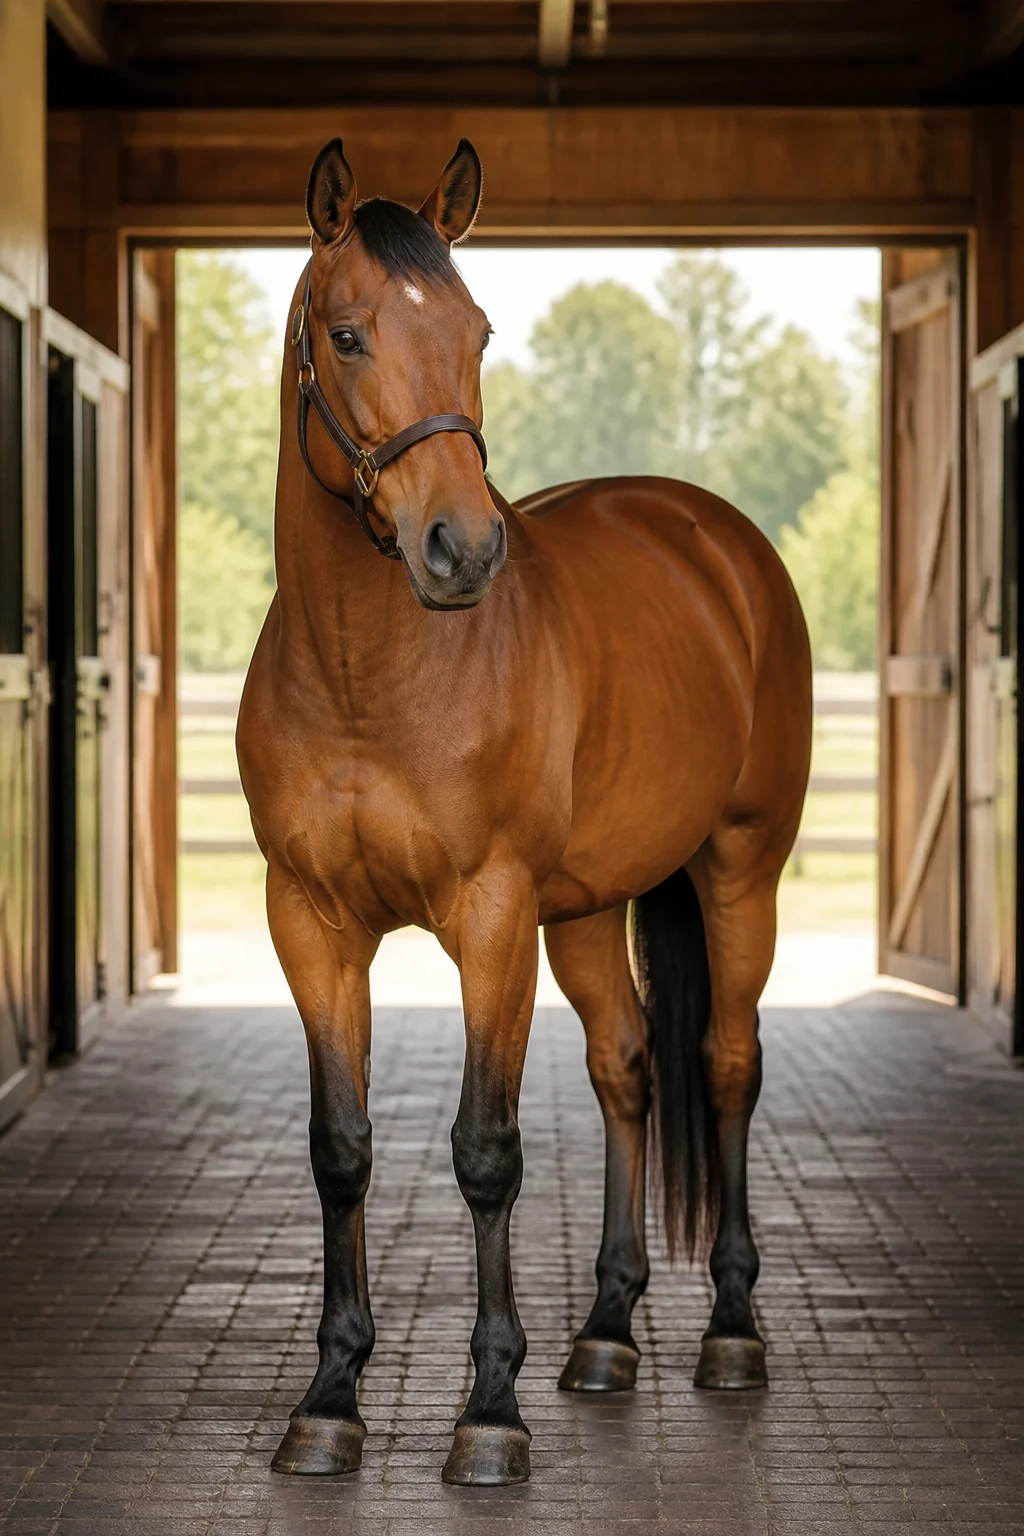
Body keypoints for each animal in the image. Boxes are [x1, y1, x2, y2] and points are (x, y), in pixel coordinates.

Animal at [237, 136, 812, 1487]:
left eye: (478, 331)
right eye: (347, 334)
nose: (461, 549)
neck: (366, 678)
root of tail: (715, 538)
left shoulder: (489, 918)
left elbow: (485, 1151)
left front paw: (489, 1410)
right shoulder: (312, 924)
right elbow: (341, 1147)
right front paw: (330, 1397)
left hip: (738, 869)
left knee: (723, 1063)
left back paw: (731, 1330)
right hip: (588, 910)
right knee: (624, 1071)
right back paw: (604, 1330)